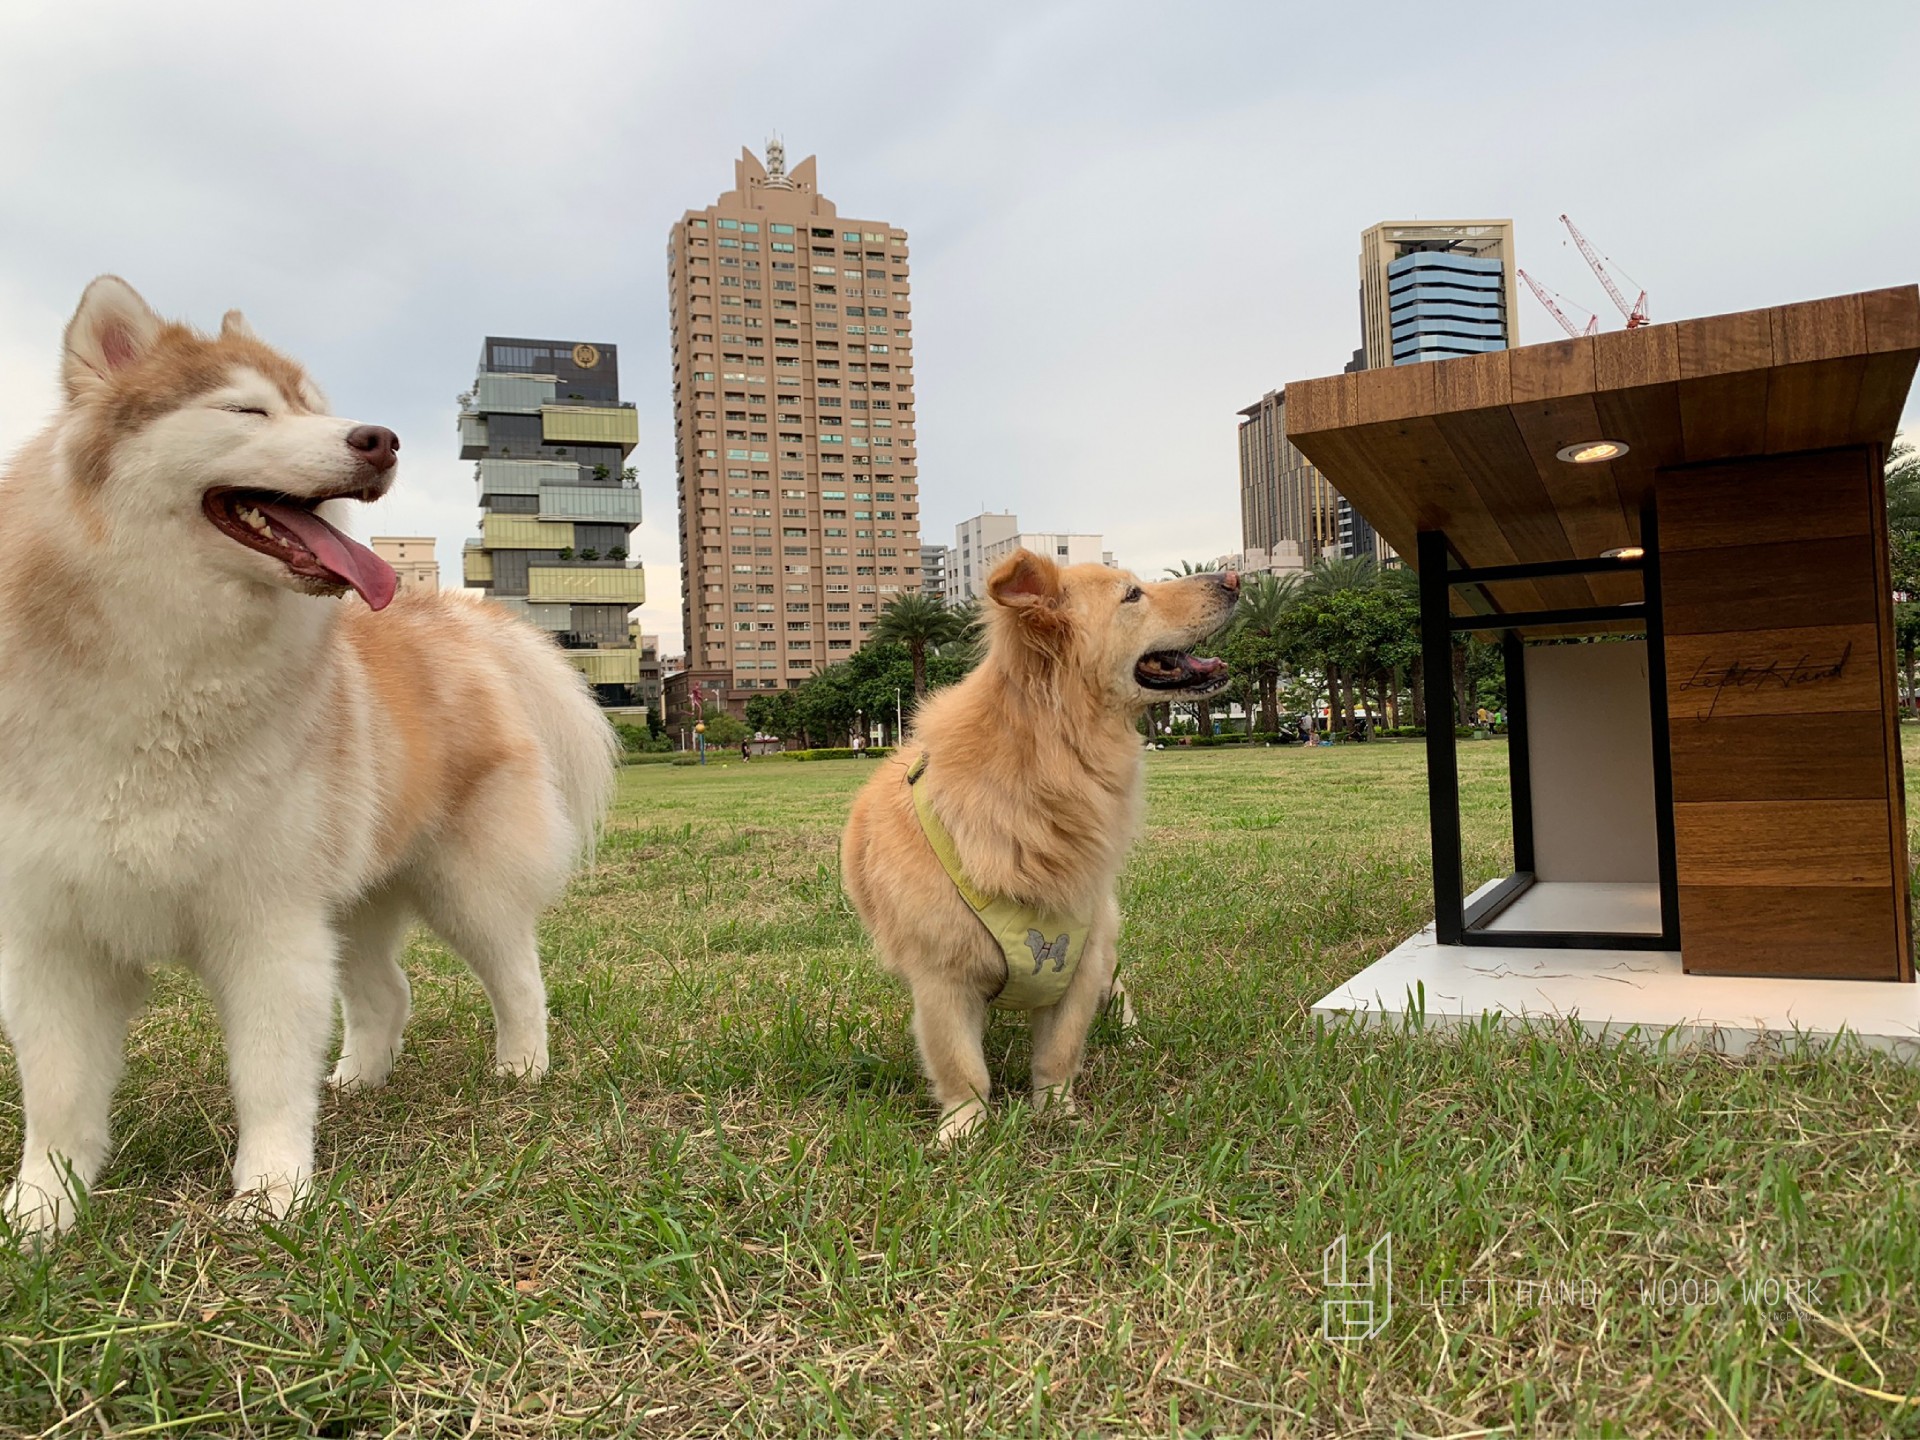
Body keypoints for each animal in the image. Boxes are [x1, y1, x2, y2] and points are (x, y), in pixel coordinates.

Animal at [0, 278, 616, 1236]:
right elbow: (58, 1096)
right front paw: (42, 1212)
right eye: (246, 409)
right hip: (353, 900)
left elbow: (265, 1074)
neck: (169, 665)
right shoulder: (50, 935)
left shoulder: (267, 921)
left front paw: (271, 1191)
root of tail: (457, 619)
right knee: (386, 993)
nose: (381, 437)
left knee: (518, 974)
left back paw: (521, 1065)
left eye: (317, 407)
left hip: (463, 886)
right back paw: (359, 1080)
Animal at [842, 549, 1238, 1142]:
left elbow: (1059, 1051)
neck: (1049, 761)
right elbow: (961, 1066)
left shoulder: (1080, 963)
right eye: (1133, 595)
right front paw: (964, 1128)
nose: (1234, 578)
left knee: (1119, 989)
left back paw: (1130, 1035)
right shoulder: (942, 978)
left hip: (1106, 943)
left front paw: (1057, 1111)